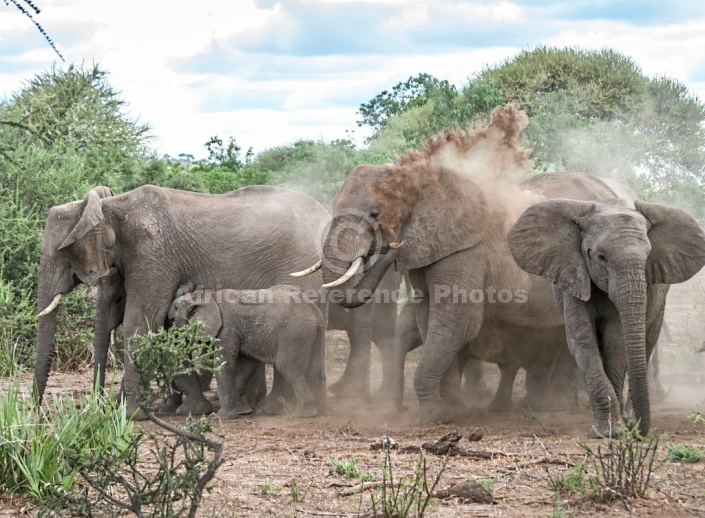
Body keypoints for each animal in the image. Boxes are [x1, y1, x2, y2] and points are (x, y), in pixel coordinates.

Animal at [169, 286, 326, 420]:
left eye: (176, 308)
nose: (169, 319)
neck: (209, 296)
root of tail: (315, 311)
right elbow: (246, 367)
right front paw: (242, 412)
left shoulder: (227, 329)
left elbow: (224, 364)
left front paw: (222, 417)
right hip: (313, 334)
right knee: (312, 369)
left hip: (295, 334)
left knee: (288, 368)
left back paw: (305, 413)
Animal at [506, 185, 704, 436]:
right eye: (601, 258)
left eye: (648, 258)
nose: (637, 430)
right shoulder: (574, 276)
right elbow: (582, 341)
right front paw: (607, 431)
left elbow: (616, 341)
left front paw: (616, 428)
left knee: (647, 343)